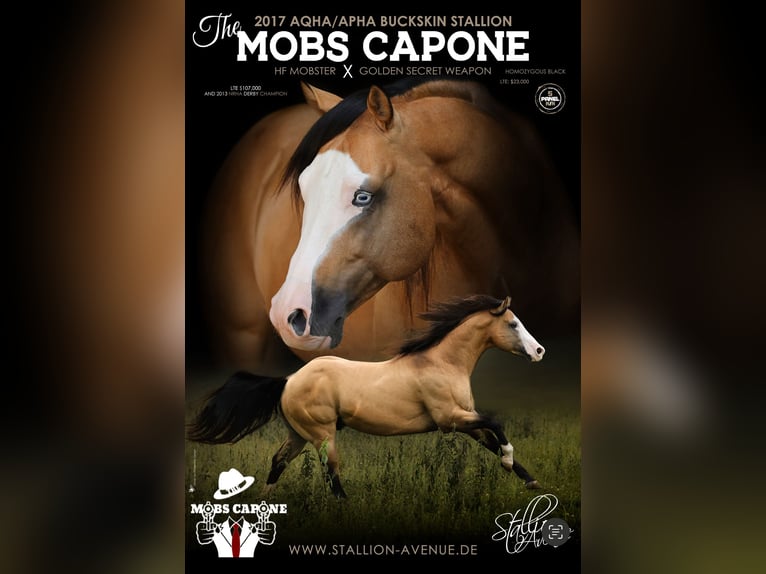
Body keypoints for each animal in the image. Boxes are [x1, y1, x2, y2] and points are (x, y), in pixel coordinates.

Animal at [188, 295, 545, 498]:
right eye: (513, 324)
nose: (539, 351)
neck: (442, 362)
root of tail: (289, 380)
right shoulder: (450, 419)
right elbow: (496, 424)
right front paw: (508, 461)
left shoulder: (466, 422)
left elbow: (492, 438)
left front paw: (531, 482)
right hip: (322, 435)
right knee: (330, 473)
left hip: (298, 434)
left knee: (278, 461)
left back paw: (263, 502)